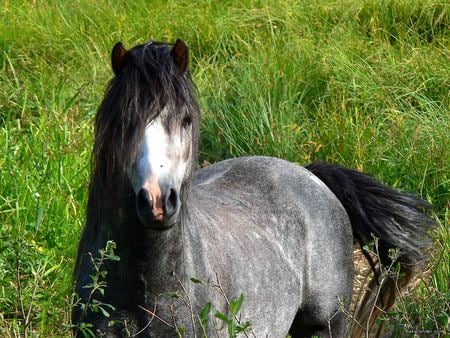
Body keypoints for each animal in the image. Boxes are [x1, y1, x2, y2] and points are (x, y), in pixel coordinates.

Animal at [72, 38, 434, 336]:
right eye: (124, 123)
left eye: (186, 119)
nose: (158, 202)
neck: (146, 286)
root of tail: (308, 174)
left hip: (325, 324)